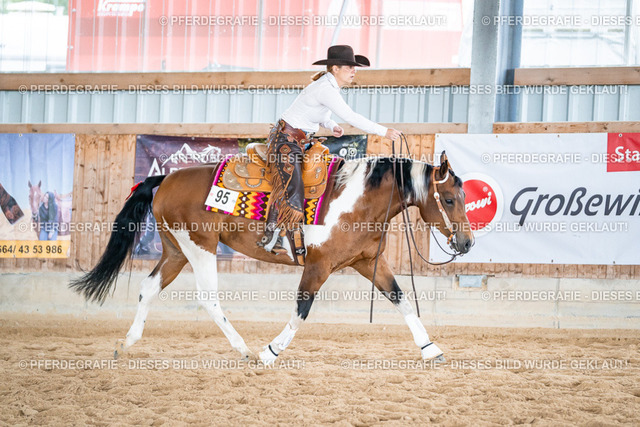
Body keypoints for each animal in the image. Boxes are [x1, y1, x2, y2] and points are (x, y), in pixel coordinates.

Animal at [70, 152, 474, 364]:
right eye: (448, 199)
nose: (467, 242)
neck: (355, 200)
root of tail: (164, 179)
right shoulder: (318, 266)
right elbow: (301, 310)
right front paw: (270, 352)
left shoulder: (367, 262)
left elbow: (402, 300)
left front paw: (431, 348)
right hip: (200, 247)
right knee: (208, 297)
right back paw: (244, 349)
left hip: (176, 251)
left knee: (149, 287)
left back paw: (127, 342)